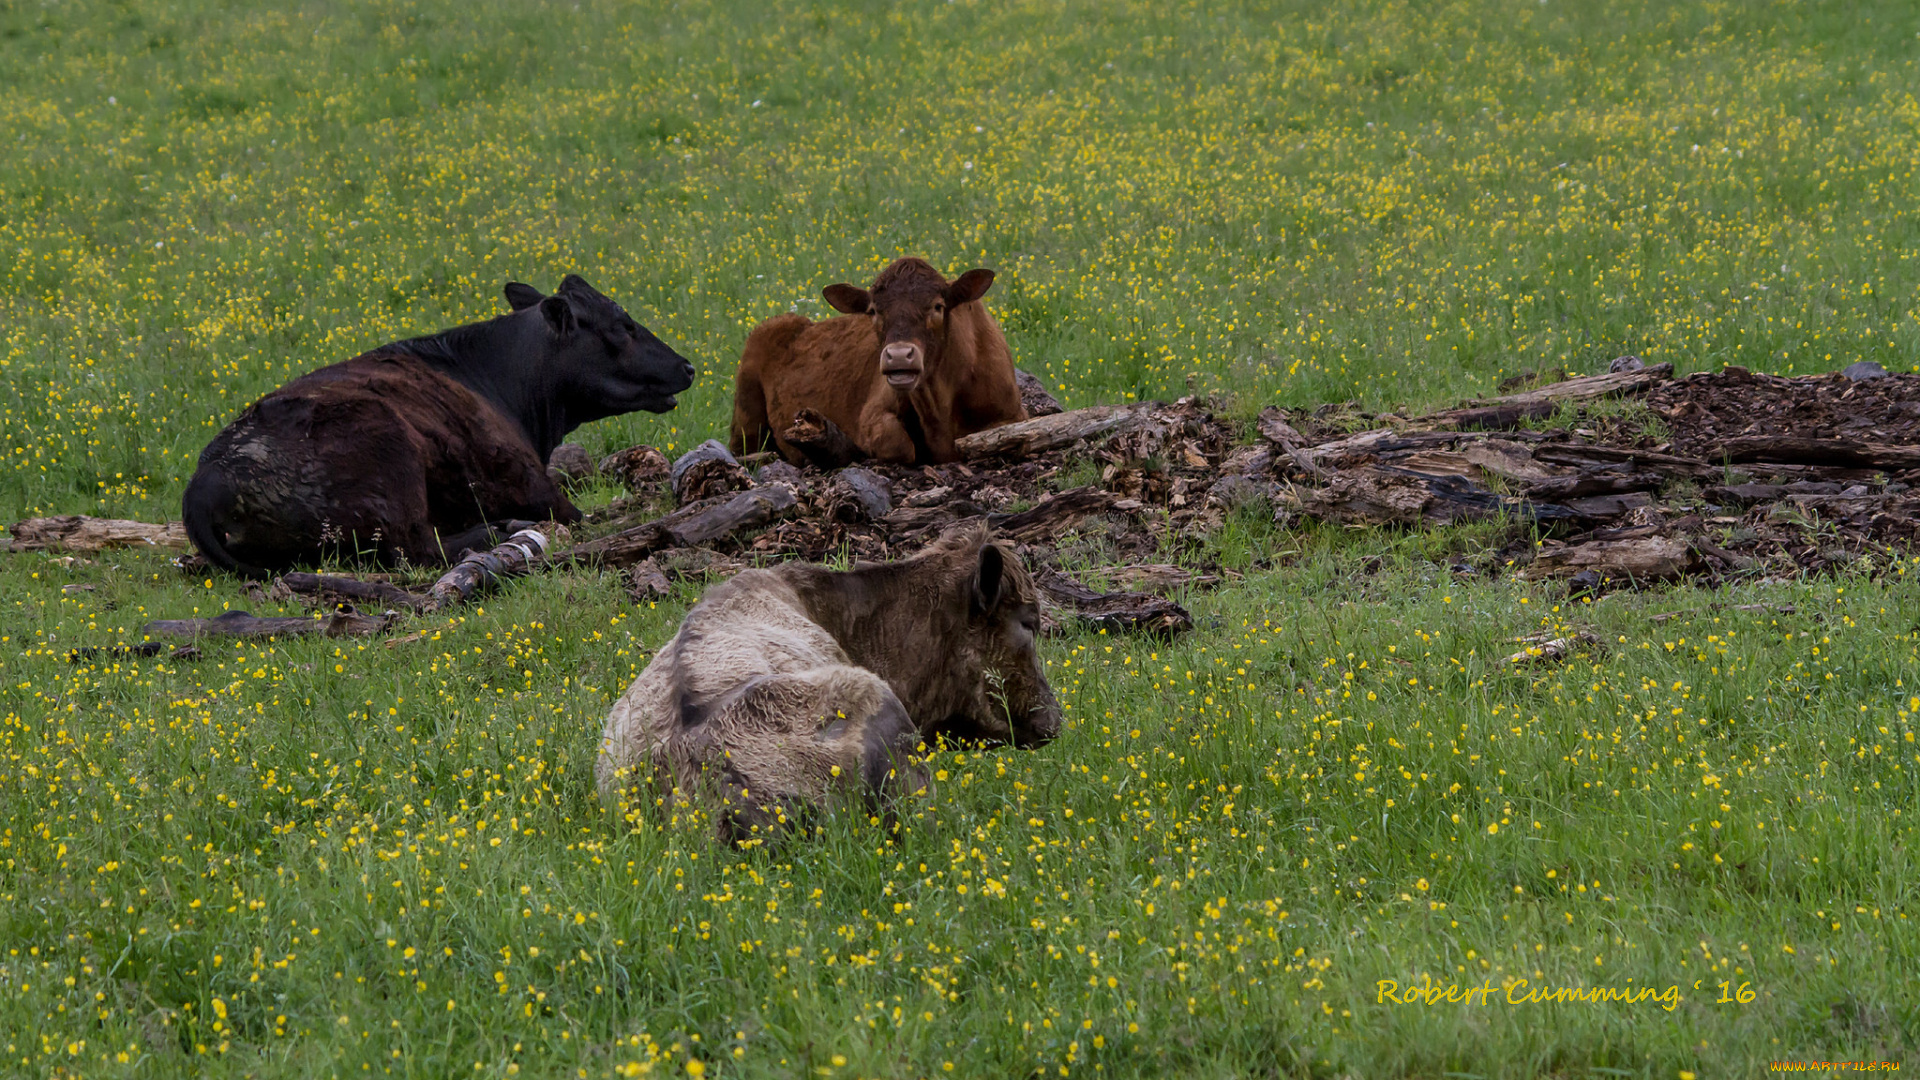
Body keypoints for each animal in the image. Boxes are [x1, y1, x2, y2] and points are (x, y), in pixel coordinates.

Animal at [183, 274, 695, 572]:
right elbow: (582, 514)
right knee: (416, 549)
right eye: (622, 325)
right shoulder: (533, 485)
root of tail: (209, 477)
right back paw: (498, 530)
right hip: (391, 453)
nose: (687, 366)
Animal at [725, 261, 1029, 466]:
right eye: (873, 311)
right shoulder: (872, 415)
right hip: (745, 421)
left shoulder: (1014, 414)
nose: (899, 355)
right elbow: (900, 446)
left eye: (937, 306)